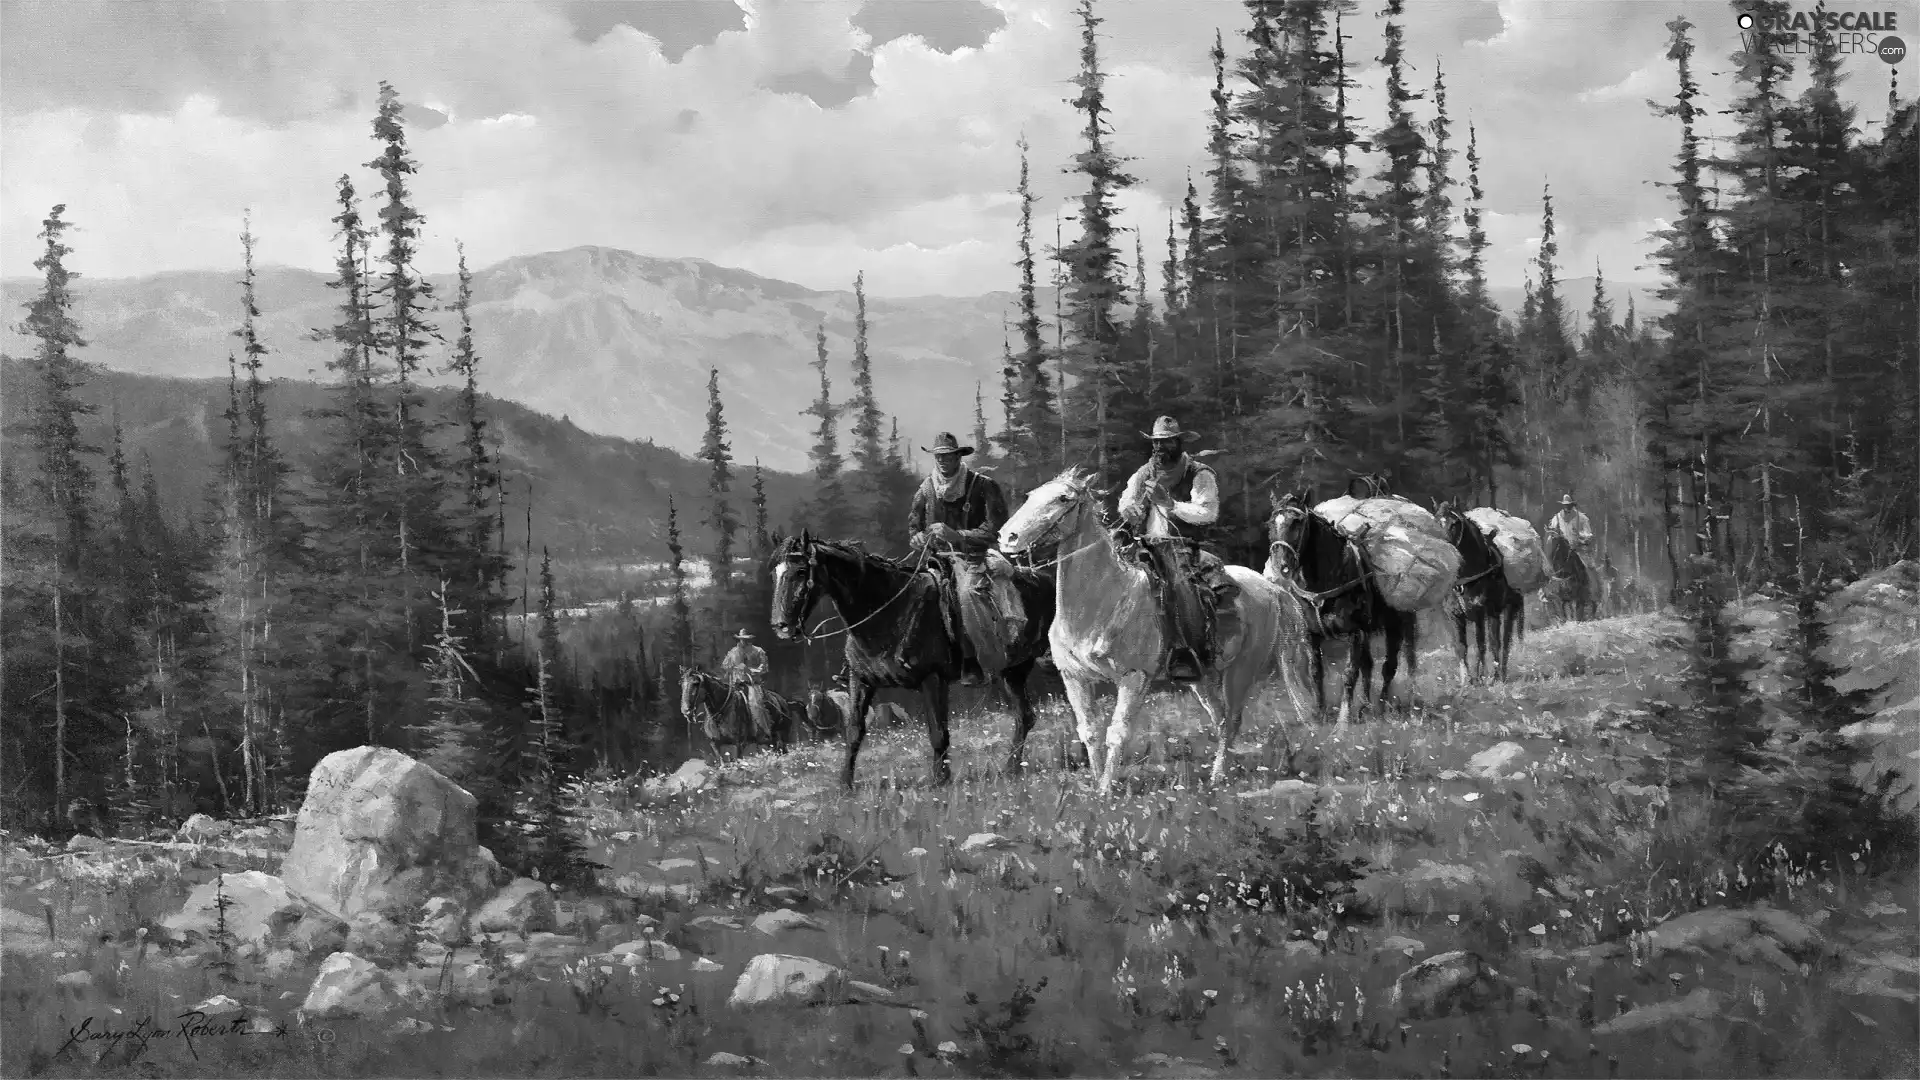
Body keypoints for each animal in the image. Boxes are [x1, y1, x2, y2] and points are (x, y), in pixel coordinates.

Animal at [768, 534, 1059, 787]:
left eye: (801, 572)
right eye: (775, 573)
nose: (781, 626)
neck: (887, 613)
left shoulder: (933, 680)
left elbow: (938, 733)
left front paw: (940, 782)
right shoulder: (860, 681)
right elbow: (853, 733)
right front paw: (845, 786)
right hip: (1013, 672)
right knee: (1024, 716)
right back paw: (1011, 769)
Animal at [998, 465, 1313, 791]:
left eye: (1063, 498)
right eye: (1031, 496)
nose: (1007, 537)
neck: (1102, 599)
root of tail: (1272, 588)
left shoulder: (1134, 676)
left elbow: (1117, 732)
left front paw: (1106, 790)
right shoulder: (1073, 677)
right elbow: (1089, 731)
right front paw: (1095, 786)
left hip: (1242, 669)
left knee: (1234, 719)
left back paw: (1218, 776)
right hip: (1202, 678)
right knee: (1221, 718)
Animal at [1267, 491, 1420, 718]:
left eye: (1297, 522)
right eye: (1271, 523)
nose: (1281, 565)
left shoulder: (1355, 633)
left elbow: (1349, 674)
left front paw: (1343, 719)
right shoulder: (1311, 635)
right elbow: (1316, 672)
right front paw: (1320, 712)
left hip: (1397, 623)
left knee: (1394, 664)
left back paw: (1386, 704)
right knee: (1370, 665)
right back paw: (1365, 707)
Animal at [1443, 499, 1528, 676]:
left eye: (1455, 523)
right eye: (1436, 521)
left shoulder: (1482, 613)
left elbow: (1484, 645)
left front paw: (1484, 677)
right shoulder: (1455, 616)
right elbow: (1461, 648)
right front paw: (1468, 680)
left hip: (1509, 608)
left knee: (1504, 640)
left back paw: (1500, 674)